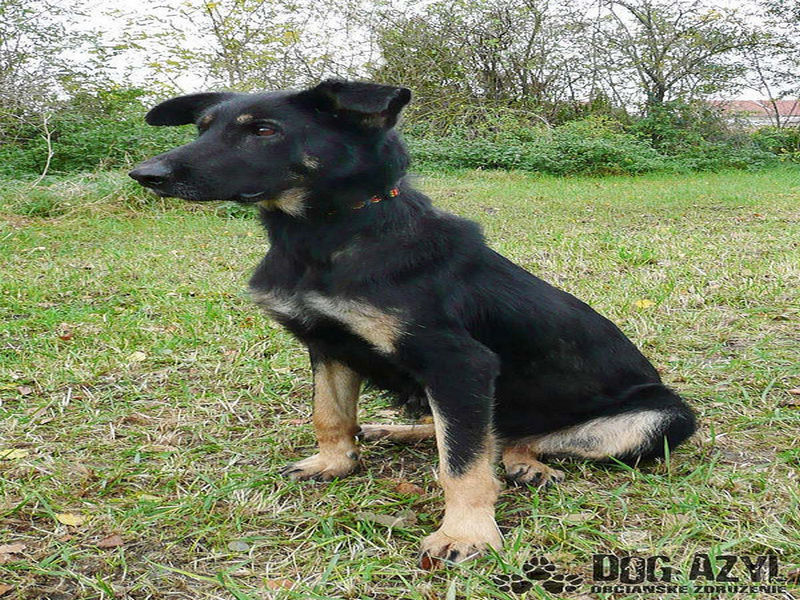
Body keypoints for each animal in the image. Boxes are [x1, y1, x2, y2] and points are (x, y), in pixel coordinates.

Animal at [129, 79, 696, 565]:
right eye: (202, 128)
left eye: (265, 130)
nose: (145, 175)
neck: (329, 233)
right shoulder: (328, 345)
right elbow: (330, 415)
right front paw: (335, 462)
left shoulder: (460, 365)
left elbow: (462, 464)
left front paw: (467, 533)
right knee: (471, 431)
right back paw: (393, 430)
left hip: (660, 420)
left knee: (510, 439)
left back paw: (524, 464)